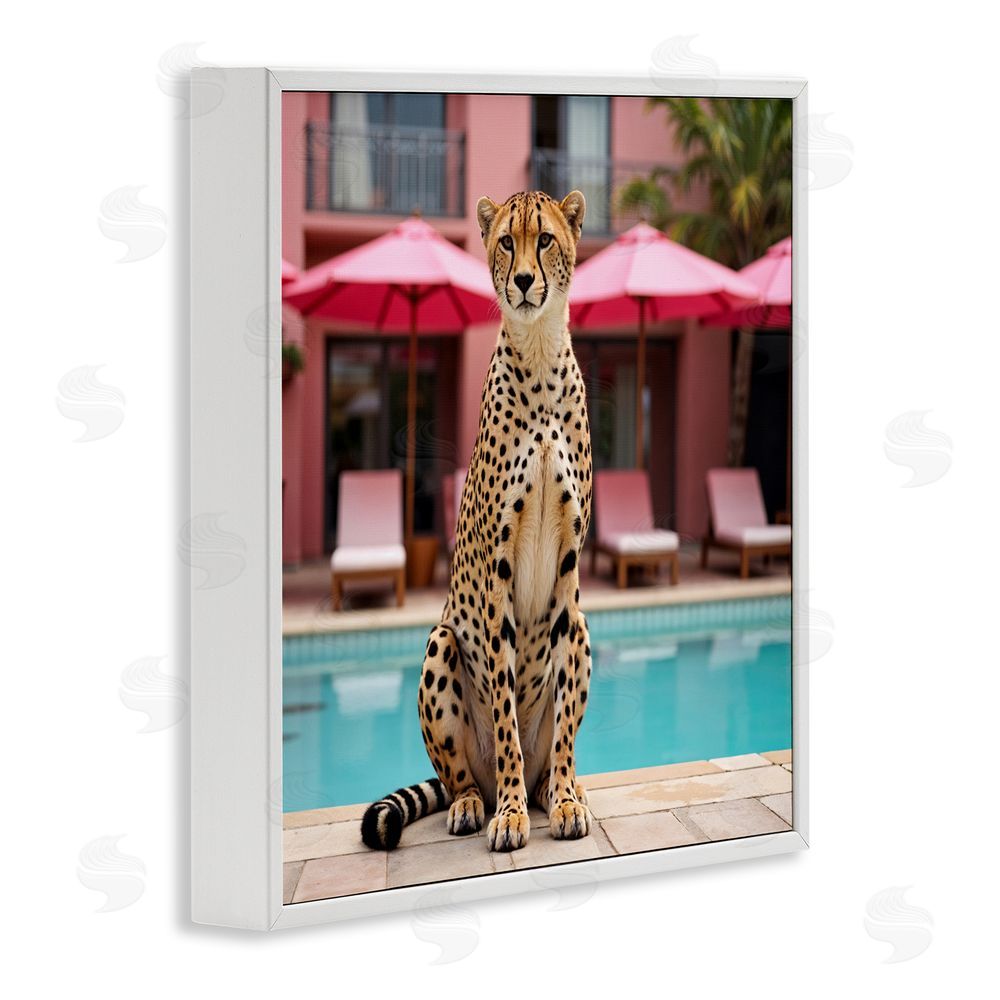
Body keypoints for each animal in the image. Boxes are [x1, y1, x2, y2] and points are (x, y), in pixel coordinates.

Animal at [361, 190, 593, 853]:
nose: (524, 281)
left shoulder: (570, 570)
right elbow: (506, 715)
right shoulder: (498, 568)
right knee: (461, 776)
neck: (539, 355)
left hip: (585, 629)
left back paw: (557, 789)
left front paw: (564, 801)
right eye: (506, 243)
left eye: (545, 240)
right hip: (441, 642)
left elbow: (563, 724)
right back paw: (478, 802)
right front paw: (511, 815)